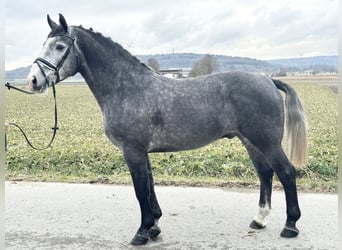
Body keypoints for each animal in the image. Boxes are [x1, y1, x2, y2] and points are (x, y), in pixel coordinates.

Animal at [27, 14, 308, 246]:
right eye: (43, 44)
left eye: (60, 47)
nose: (33, 81)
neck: (127, 87)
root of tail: (267, 79)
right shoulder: (142, 152)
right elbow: (150, 187)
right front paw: (154, 227)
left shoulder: (133, 151)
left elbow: (140, 191)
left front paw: (142, 232)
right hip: (250, 141)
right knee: (265, 173)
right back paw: (259, 219)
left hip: (267, 142)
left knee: (286, 172)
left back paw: (290, 226)